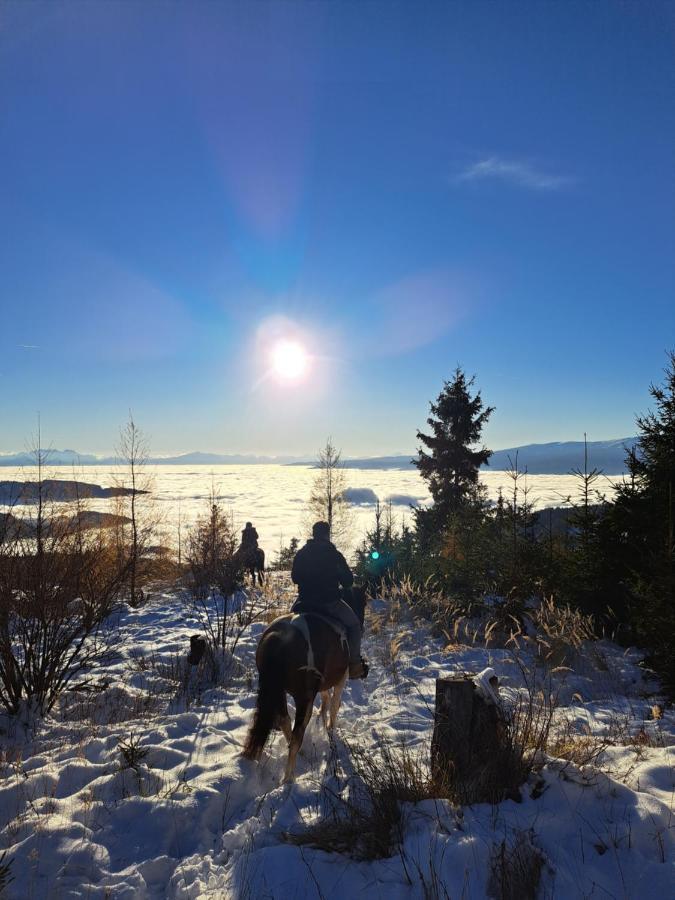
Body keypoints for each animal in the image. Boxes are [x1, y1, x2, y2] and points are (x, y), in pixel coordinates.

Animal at [243, 584, 368, 780]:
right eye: (364, 601)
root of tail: (280, 638)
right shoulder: (341, 679)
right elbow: (334, 705)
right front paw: (330, 729)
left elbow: (325, 697)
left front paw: (321, 714)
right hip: (303, 696)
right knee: (297, 734)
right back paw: (288, 779)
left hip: (279, 692)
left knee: (285, 721)